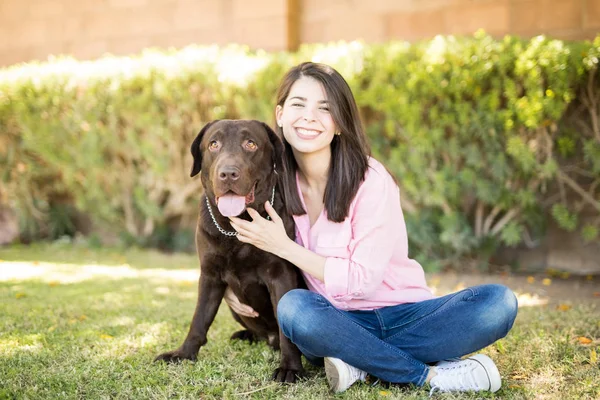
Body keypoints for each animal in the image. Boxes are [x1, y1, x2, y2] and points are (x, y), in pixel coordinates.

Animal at [155, 118, 304, 382]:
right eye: (213, 144)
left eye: (250, 144)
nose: (228, 173)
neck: (236, 227)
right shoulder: (210, 275)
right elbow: (199, 319)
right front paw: (183, 354)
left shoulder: (281, 273)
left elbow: (287, 328)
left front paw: (290, 368)